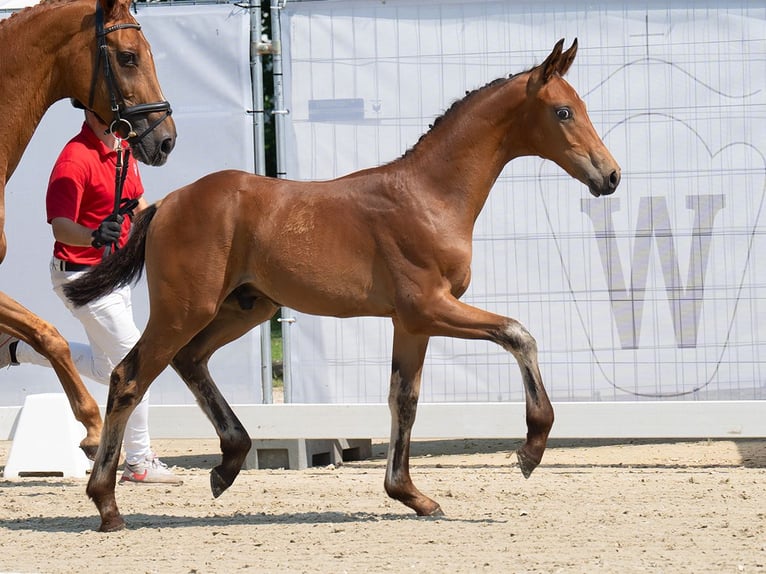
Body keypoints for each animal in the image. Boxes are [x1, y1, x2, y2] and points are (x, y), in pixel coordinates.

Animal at [66, 38, 624, 532]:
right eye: (564, 112)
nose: (612, 175)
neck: (431, 195)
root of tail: (165, 203)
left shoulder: (411, 323)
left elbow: (404, 399)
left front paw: (410, 494)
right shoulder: (429, 307)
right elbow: (518, 333)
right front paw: (531, 447)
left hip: (246, 308)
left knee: (190, 360)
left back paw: (227, 465)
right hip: (183, 310)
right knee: (128, 377)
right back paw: (108, 506)